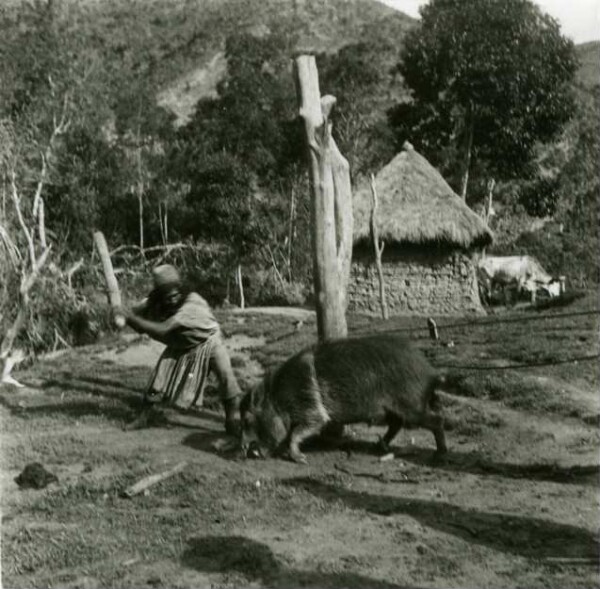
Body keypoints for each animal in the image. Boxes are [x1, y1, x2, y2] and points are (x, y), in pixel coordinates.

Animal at [241, 334, 448, 462]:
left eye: (248, 420)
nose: (247, 451)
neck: (279, 399)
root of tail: (430, 371)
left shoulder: (313, 412)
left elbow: (296, 433)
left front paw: (301, 459)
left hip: (412, 405)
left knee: (436, 420)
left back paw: (440, 456)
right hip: (392, 409)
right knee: (396, 425)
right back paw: (378, 447)